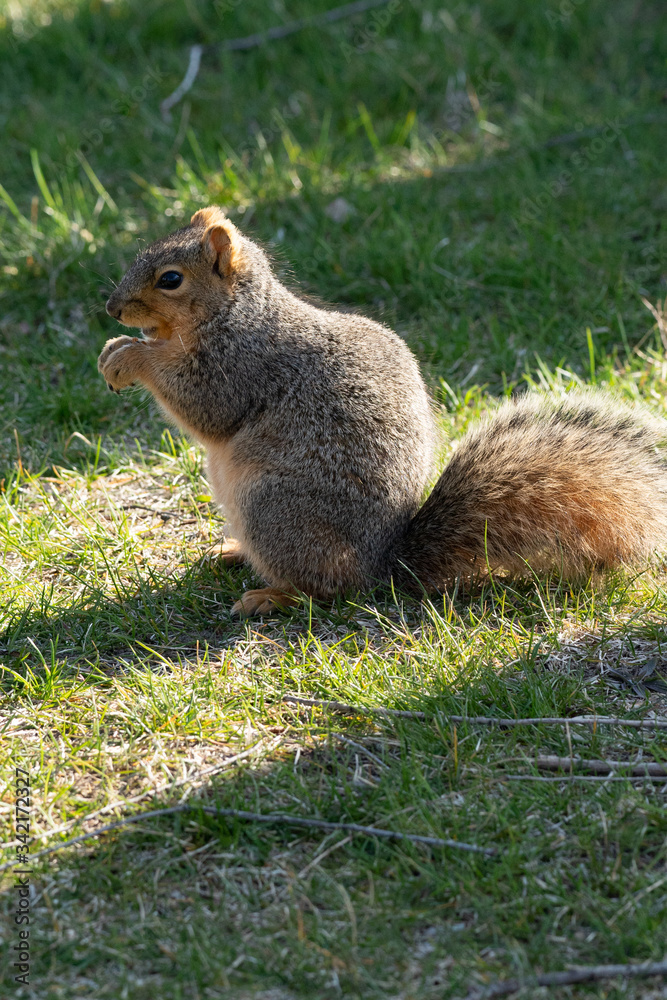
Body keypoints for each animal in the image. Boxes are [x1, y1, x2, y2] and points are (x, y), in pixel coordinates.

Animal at [99, 205, 667, 616]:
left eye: (170, 279)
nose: (112, 307)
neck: (233, 311)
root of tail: (383, 566)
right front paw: (115, 348)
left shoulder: (241, 363)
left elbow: (204, 403)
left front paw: (130, 356)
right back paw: (234, 553)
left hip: (273, 508)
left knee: (328, 589)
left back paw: (272, 596)